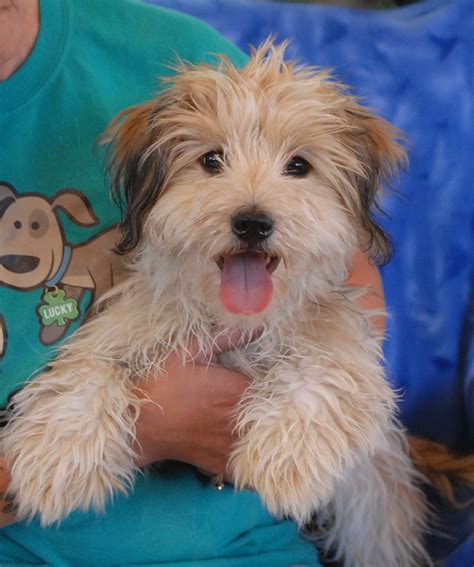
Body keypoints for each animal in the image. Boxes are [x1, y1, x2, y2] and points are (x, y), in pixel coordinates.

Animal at [0, 42, 430, 564]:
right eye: (211, 160)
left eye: (298, 166)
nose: (252, 222)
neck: (234, 317)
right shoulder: (127, 324)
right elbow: (91, 368)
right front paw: (58, 452)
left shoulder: (339, 335)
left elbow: (321, 374)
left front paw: (286, 458)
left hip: (376, 498)